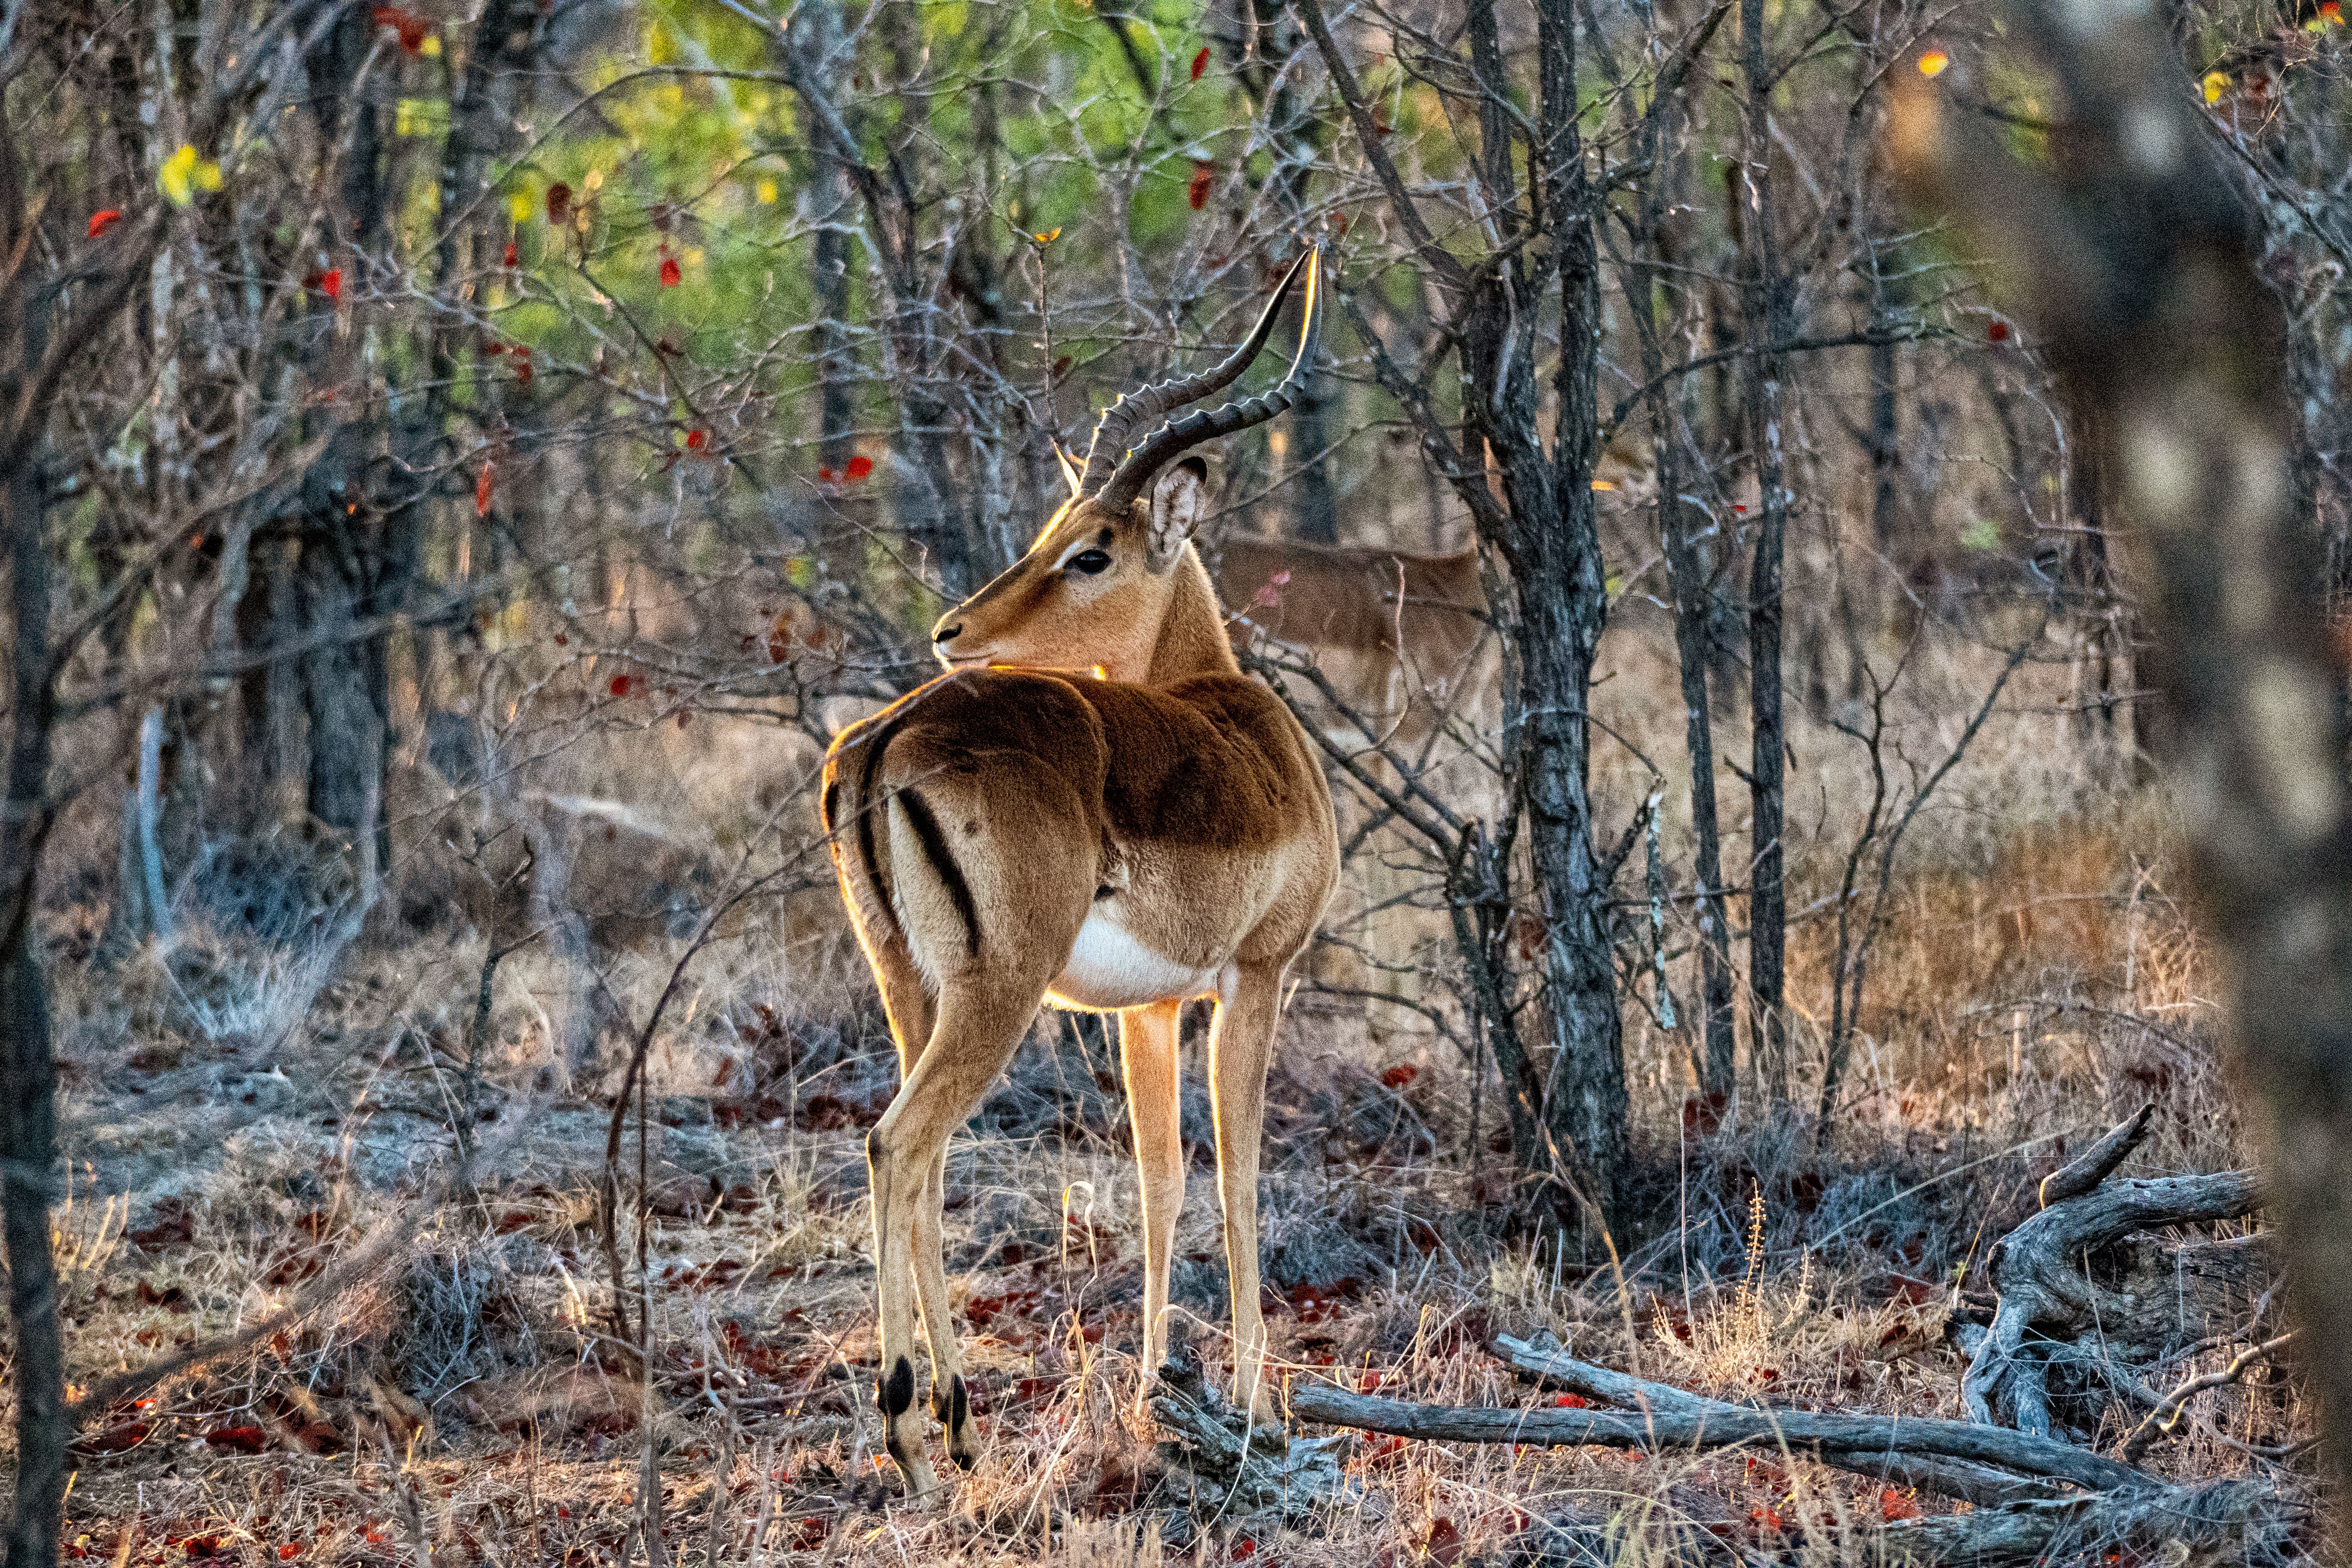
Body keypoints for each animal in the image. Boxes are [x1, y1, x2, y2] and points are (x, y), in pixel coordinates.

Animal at [819, 251, 1339, 1495]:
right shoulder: (1258, 976)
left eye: (1085, 545)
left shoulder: (1146, 1008)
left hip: (913, 990)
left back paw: (959, 1428)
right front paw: (1258, 1410)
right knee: (898, 1143)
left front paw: (1161, 1387)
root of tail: (881, 742)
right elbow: (1242, 1178)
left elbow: (1160, 1183)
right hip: (1000, 993)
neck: (1239, 722)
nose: (954, 628)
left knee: (921, 1161)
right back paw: (910, 1439)